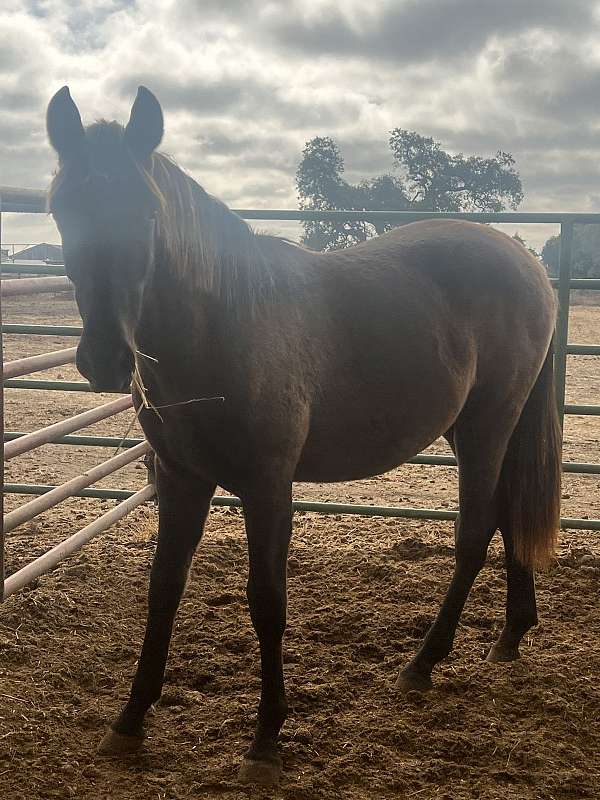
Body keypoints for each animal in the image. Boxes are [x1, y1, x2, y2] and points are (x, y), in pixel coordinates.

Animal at [45, 84, 564, 784]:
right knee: (509, 512)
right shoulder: (181, 480)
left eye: (148, 214)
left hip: (488, 422)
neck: (223, 331)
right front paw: (128, 723)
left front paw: (266, 740)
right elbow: (163, 590)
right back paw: (510, 635)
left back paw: (422, 665)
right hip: (472, 428)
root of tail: (526, 262)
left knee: (476, 529)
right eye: (62, 209)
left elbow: (267, 600)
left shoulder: (269, 487)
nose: (103, 358)